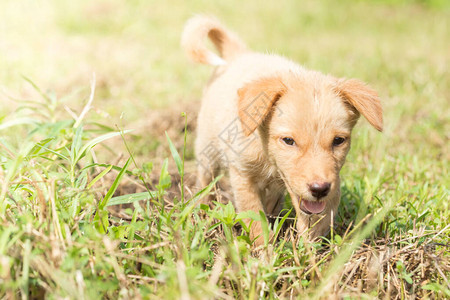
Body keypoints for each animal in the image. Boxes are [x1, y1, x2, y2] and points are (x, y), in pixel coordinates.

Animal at [181, 15, 382, 246]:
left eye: (338, 140)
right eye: (288, 140)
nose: (319, 189)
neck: (267, 154)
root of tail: (240, 54)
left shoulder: (332, 182)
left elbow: (317, 220)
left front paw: (308, 250)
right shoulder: (242, 176)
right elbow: (254, 218)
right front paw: (264, 251)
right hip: (207, 148)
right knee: (205, 181)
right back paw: (200, 209)